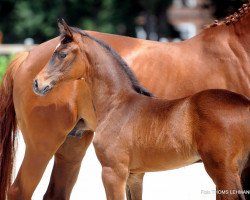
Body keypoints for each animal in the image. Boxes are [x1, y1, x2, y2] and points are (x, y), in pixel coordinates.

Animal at [1, 2, 250, 199]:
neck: (118, 104)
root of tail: (25, 57)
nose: (37, 83)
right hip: (45, 144)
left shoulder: (117, 172)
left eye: (61, 54)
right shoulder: (130, 174)